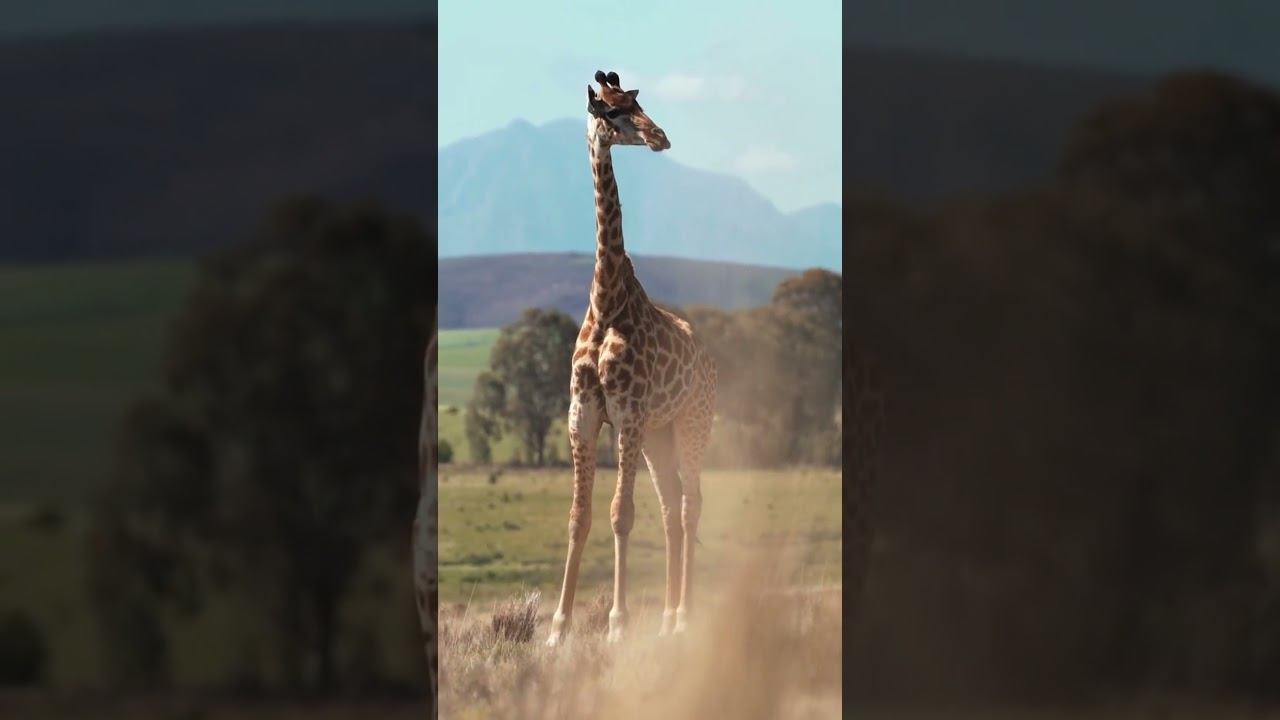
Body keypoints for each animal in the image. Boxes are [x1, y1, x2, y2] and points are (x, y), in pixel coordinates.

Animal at [546, 70, 718, 646]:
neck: (606, 301)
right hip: (660, 436)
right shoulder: (583, 415)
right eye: (613, 111)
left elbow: (621, 514)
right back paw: (665, 618)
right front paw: (558, 627)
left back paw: (684, 616)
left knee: (689, 506)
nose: (660, 136)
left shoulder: (627, 415)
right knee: (669, 507)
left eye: (638, 103)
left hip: (691, 423)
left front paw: (617, 624)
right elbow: (579, 517)